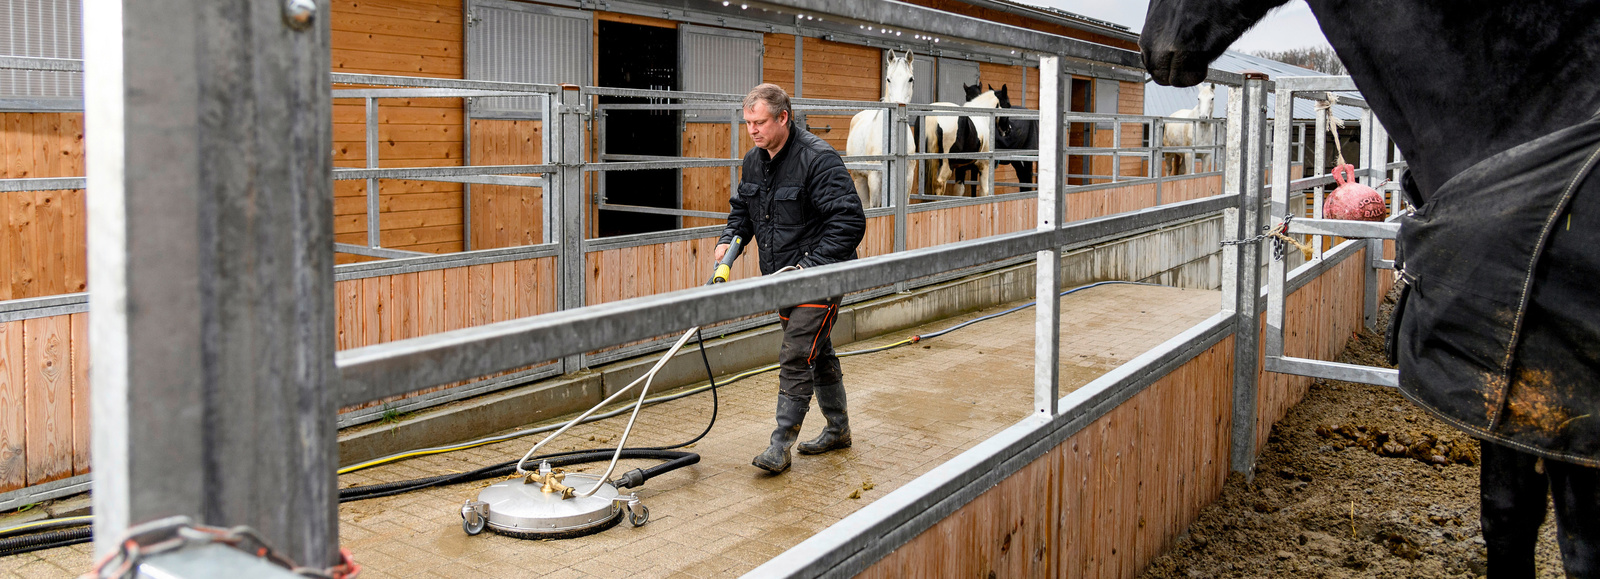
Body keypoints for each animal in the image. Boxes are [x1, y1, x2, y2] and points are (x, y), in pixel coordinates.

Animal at [844, 50, 921, 207]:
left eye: (910, 79)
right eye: (888, 79)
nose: (899, 104)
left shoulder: (908, 176)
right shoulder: (875, 177)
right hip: (860, 178)